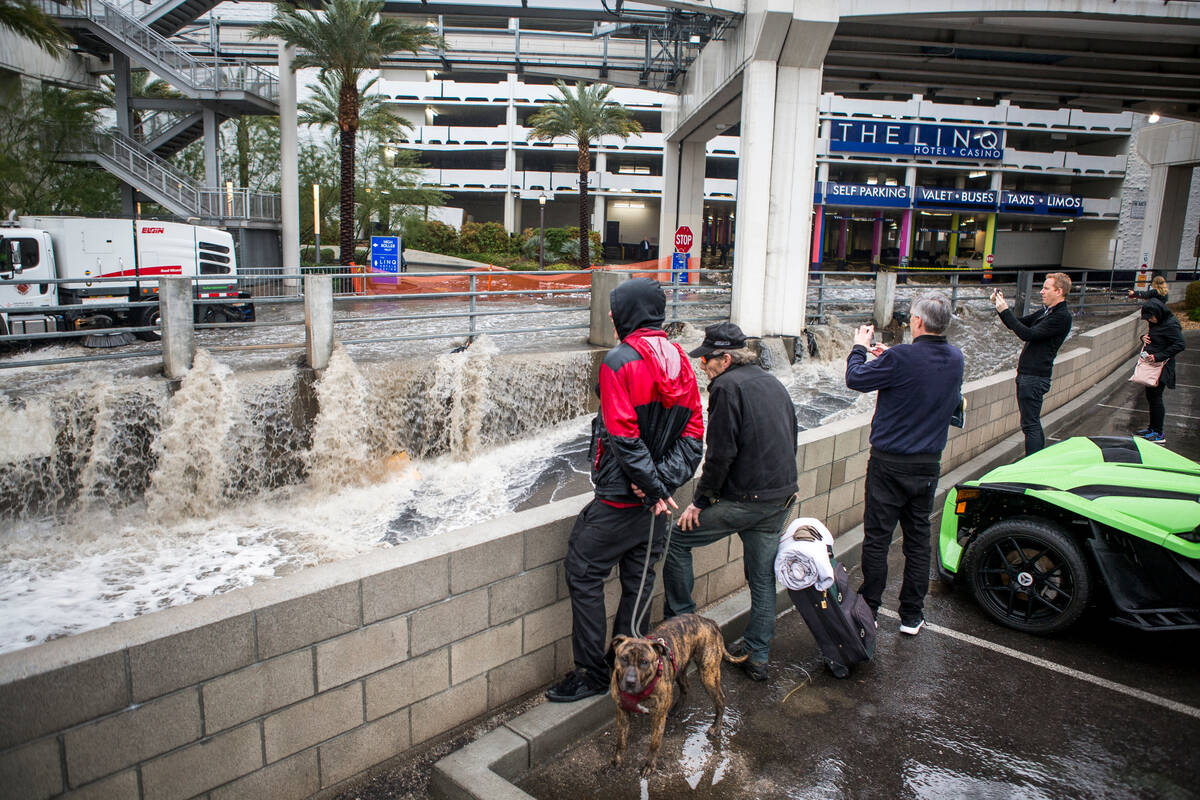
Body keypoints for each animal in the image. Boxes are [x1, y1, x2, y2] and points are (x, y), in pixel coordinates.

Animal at [614, 614, 744, 777]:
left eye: (644, 662)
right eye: (623, 658)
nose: (630, 681)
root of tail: (708, 621)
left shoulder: (658, 716)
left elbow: (654, 743)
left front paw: (649, 765)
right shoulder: (622, 711)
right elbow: (621, 740)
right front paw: (617, 761)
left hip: (708, 673)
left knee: (720, 699)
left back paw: (716, 727)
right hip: (681, 667)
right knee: (685, 687)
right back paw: (676, 709)